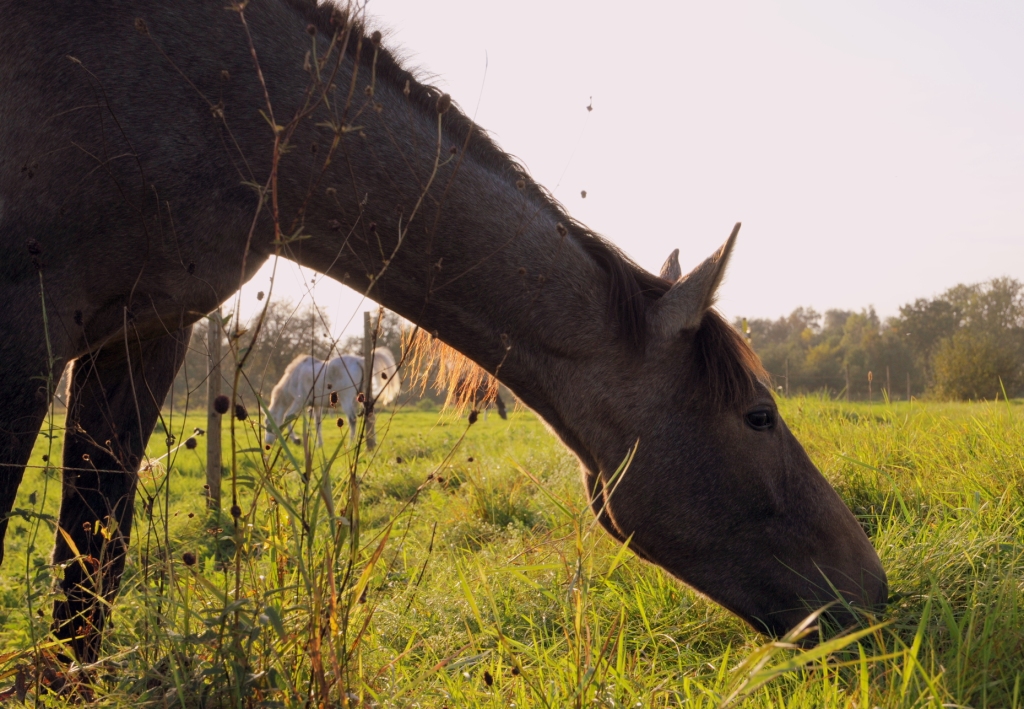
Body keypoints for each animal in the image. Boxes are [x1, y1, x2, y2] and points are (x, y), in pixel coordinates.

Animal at [264, 348, 399, 446]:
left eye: (267, 422)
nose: (267, 443)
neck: (295, 377)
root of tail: (358, 360)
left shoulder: (299, 402)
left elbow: (288, 417)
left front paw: (296, 440)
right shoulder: (316, 405)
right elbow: (317, 423)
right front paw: (319, 444)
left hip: (346, 400)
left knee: (352, 420)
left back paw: (350, 445)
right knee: (370, 417)